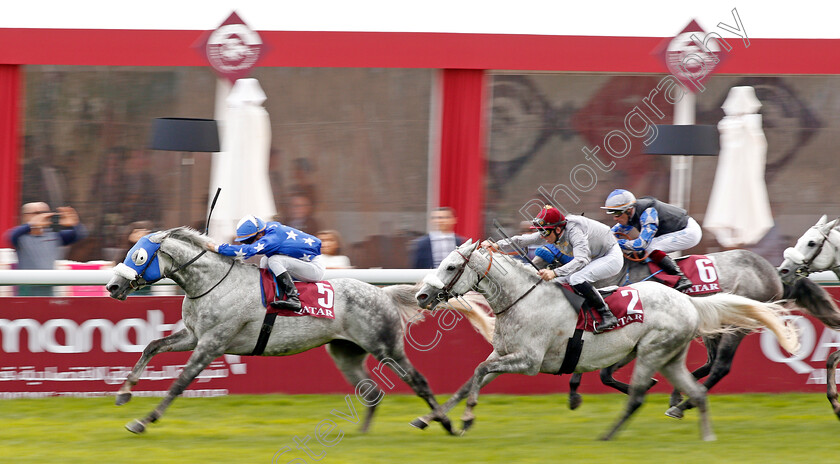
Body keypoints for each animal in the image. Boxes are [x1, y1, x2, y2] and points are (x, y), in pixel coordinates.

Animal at [105, 227, 492, 436]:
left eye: (139, 257)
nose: (111, 286)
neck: (213, 282)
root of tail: (381, 293)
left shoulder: (212, 343)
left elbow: (180, 382)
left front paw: (144, 420)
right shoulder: (194, 336)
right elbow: (152, 346)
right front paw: (124, 394)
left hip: (387, 348)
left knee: (419, 382)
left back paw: (444, 424)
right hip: (346, 353)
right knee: (371, 393)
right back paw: (363, 435)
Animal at [414, 241, 800, 440]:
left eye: (451, 267)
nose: (421, 295)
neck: (525, 299)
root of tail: (687, 300)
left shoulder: (528, 361)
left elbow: (478, 372)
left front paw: (465, 420)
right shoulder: (505, 353)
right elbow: (471, 379)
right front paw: (432, 419)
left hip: (655, 351)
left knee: (668, 384)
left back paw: (615, 431)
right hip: (667, 356)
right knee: (696, 386)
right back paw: (693, 422)